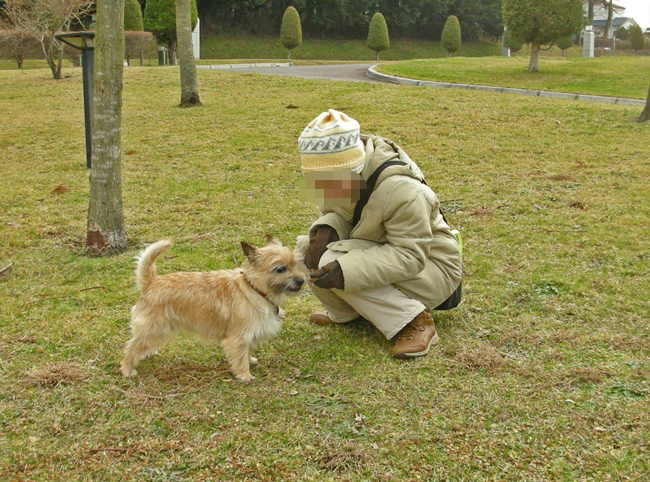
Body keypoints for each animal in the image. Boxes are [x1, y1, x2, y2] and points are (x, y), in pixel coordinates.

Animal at [121, 235, 304, 382]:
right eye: (280, 269)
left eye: (295, 263)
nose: (302, 280)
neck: (254, 288)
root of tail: (151, 281)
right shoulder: (238, 337)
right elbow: (240, 357)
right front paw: (244, 375)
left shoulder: (251, 333)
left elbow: (247, 351)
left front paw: (250, 360)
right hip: (153, 327)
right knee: (131, 348)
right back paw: (127, 369)